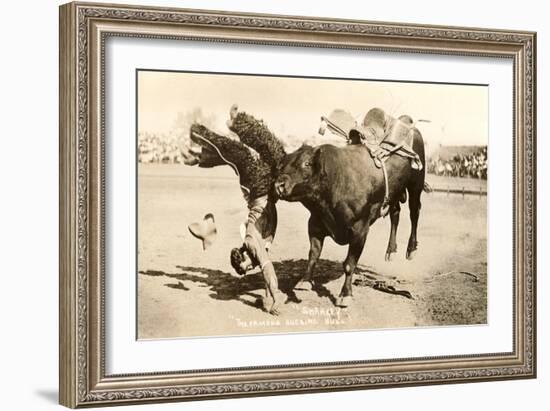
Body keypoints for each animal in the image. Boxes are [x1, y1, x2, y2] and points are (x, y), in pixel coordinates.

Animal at [183, 105, 430, 312]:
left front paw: (345, 295)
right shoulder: (316, 223)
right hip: (396, 192)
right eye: (283, 164)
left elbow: (349, 264)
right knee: (396, 213)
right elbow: (313, 253)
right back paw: (391, 250)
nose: (278, 185)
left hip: (416, 184)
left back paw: (411, 249)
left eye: (306, 164)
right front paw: (304, 281)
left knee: (414, 212)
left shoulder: (360, 230)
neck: (334, 185)